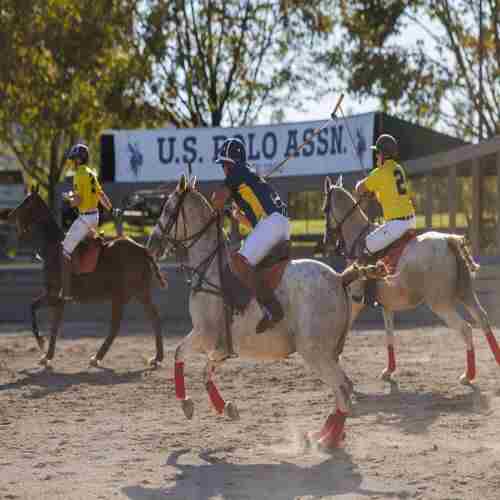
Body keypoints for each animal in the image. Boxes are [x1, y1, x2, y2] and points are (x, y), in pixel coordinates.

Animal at [7, 189, 167, 370]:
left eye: (27, 202)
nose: (9, 215)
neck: (52, 248)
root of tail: (143, 250)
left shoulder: (55, 296)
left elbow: (41, 314)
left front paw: (43, 347)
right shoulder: (56, 298)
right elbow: (46, 318)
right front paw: (46, 353)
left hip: (123, 294)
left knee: (119, 325)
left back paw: (99, 357)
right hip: (138, 293)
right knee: (151, 318)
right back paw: (155, 357)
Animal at [146, 175, 384, 450]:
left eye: (168, 209)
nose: (151, 245)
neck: (210, 268)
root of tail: (339, 278)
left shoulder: (206, 334)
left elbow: (179, 353)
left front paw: (187, 404)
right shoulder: (221, 344)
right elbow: (206, 370)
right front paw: (226, 407)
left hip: (314, 351)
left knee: (343, 388)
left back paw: (327, 441)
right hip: (328, 352)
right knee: (342, 389)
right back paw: (322, 435)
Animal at [322, 176, 498, 382]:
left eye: (324, 209)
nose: (326, 240)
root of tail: (447, 240)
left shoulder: (354, 301)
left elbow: (346, 326)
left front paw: (335, 358)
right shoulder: (387, 305)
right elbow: (389, 335)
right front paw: (389, 370)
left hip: (440, 303)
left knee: (466, 328)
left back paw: (468, 375)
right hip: (465, 293)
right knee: (482, 318)